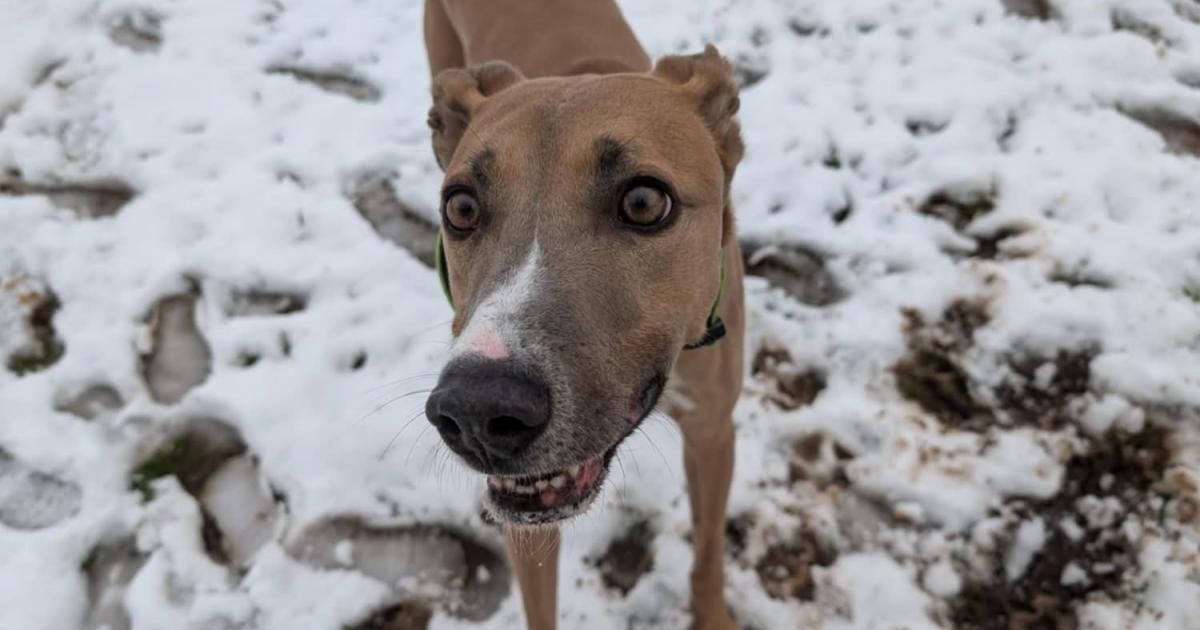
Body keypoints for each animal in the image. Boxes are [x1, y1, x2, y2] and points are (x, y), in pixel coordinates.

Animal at [420, 2, 739, 624]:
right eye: (461, 207)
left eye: (644, 201)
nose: (476, 411)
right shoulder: (526, 509)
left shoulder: (715, 432)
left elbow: (709, 551)